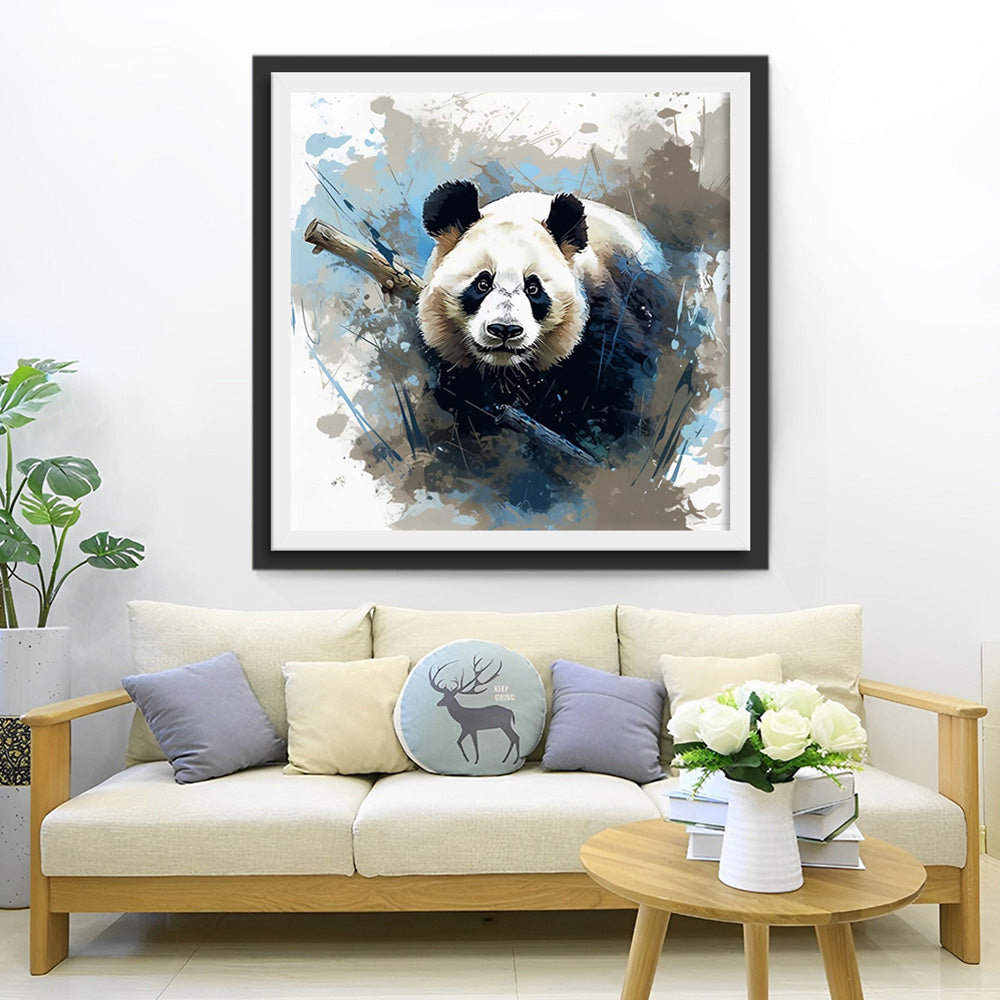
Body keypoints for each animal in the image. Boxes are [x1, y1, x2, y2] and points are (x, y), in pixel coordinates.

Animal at [415, 180, 682, 464]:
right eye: (483, 283)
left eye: (533, 288)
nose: (505, 330)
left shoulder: (600, 315)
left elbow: (618, 375)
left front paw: (589, 433)